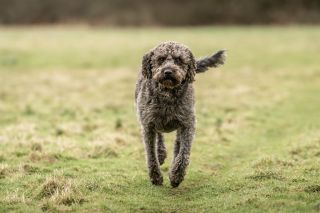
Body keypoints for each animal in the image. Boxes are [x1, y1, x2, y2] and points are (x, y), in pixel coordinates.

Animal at [135, 41, 225, 186]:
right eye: (161, 59)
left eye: (179, 60)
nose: (168, 71)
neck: (168, 94)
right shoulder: (148, 124)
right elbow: (151, 153)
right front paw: (156, 177)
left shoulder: (187, 124)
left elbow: (183, 153)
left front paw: (176, 175)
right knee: (159, 138)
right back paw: (161, 153)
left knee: (177, 145)